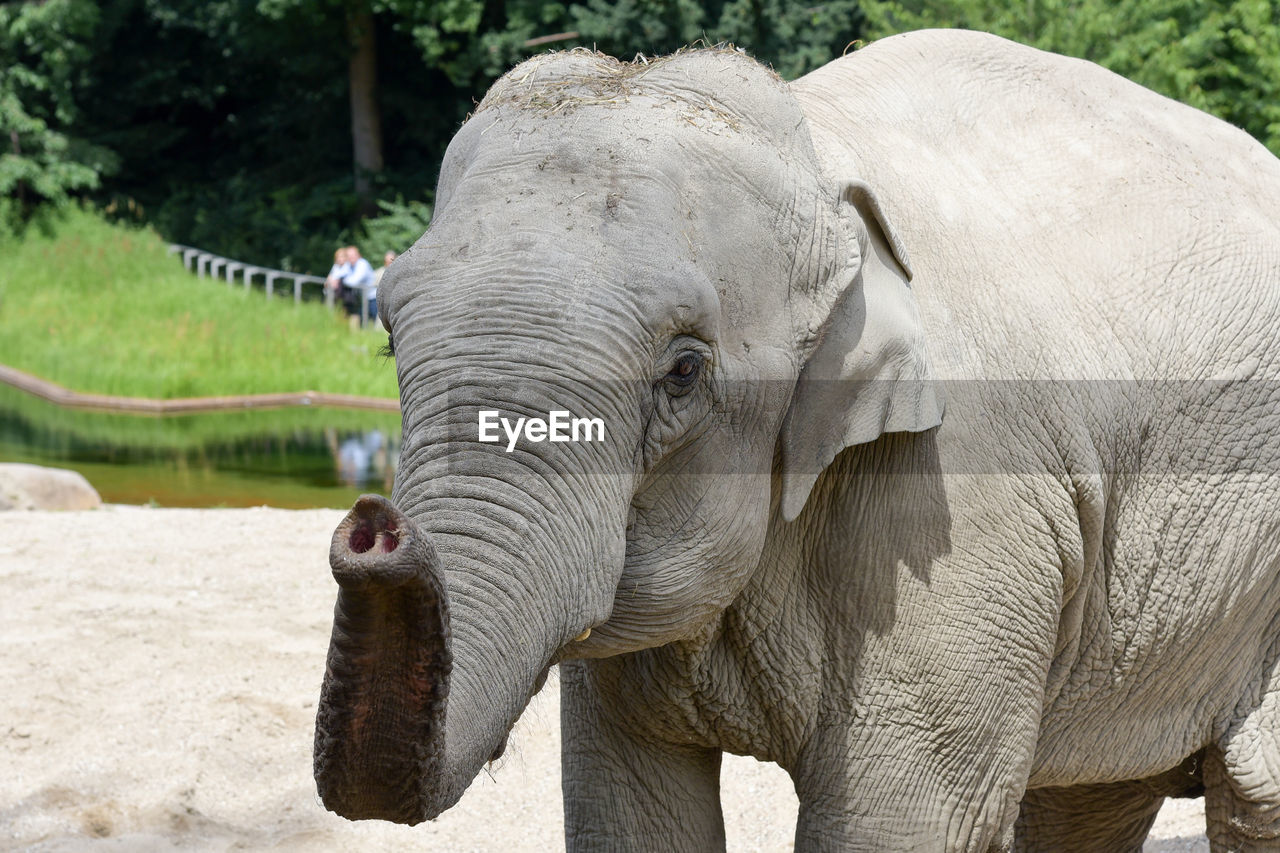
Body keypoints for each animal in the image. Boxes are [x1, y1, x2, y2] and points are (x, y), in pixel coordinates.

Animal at [309, 28, 1280, 850]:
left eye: (684, 370)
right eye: (389, 334)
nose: (372, 525)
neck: (817, 154)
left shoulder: (966, 503)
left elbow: (900, 820)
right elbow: (628, 805)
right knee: (1091, 797)